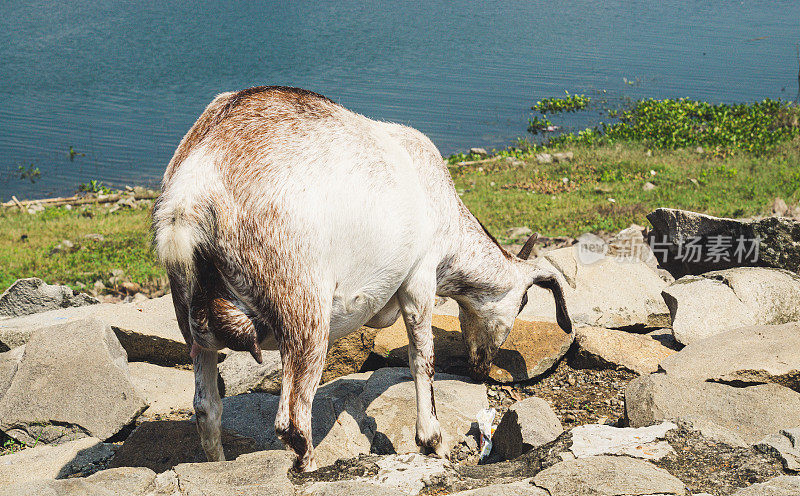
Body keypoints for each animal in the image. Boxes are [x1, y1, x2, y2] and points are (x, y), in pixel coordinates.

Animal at [153, 86, 572, 472]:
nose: (480, 370)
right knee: (292, 421)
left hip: (191, 319)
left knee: (206, 408)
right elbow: (422, 358)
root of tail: (193, 190)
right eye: (524, 303)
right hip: (301, 304)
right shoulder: (420, 277)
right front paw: (433, 442)